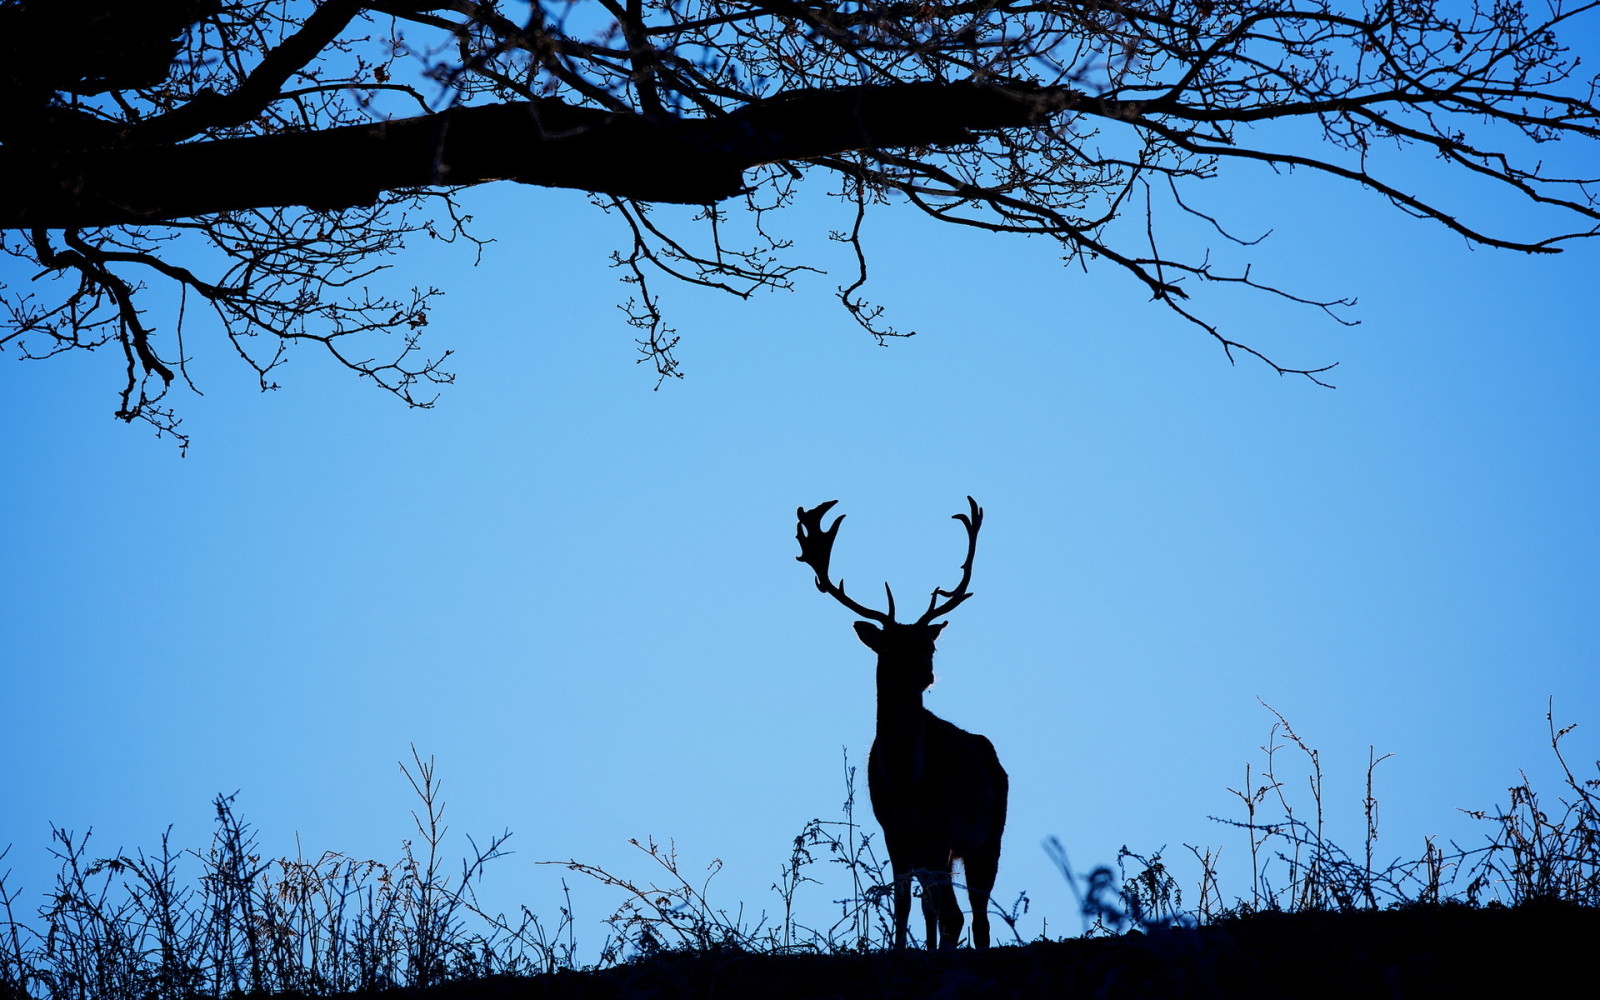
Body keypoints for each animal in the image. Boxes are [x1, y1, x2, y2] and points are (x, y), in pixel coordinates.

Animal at [793, 496, 1004, 947]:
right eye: (889, 647)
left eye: (929, 646)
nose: (925, 675)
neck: (907, 780)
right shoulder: (894, 831)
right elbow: (905, 905)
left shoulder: (941, 828)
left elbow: (946, 915)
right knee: (941, 910)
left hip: (988, 836)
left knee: (976, 917)